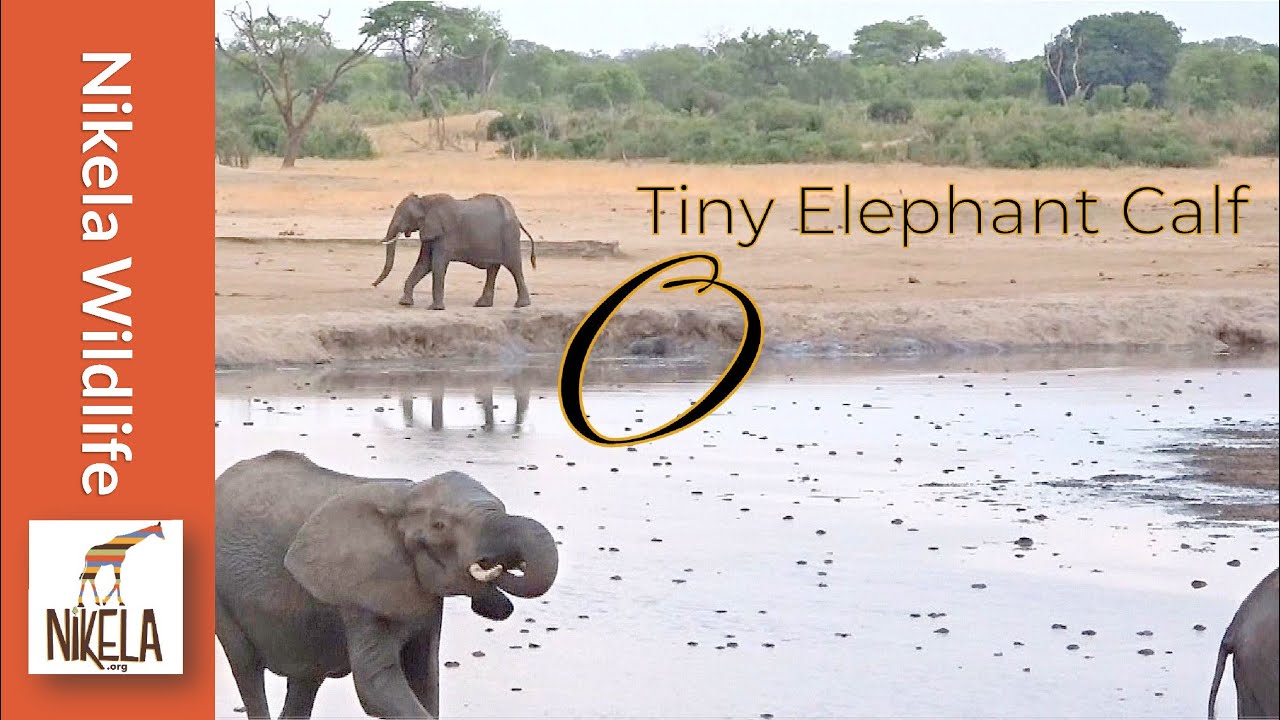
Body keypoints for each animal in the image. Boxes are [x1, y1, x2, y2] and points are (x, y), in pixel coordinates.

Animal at [215, 450, 559, 719]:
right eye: (439, 525)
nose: (496, 564)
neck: (405, 499)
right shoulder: (358, 589)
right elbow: (376, 686)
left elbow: (424, 675)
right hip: (219, 595)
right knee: (246, 666)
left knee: (306, 678)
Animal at [372, 192, 538, 310]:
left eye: (403, 217)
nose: (373, 285)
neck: (425, 201)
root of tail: (516, 217)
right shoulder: (430, 233)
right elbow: (424, 264)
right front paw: (405, 303)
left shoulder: (445, 234)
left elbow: (437, 265)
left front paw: (434, 308)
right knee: (493, 269)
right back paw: (482, 304)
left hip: (509, 236)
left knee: (513, 266)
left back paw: (521, 305)